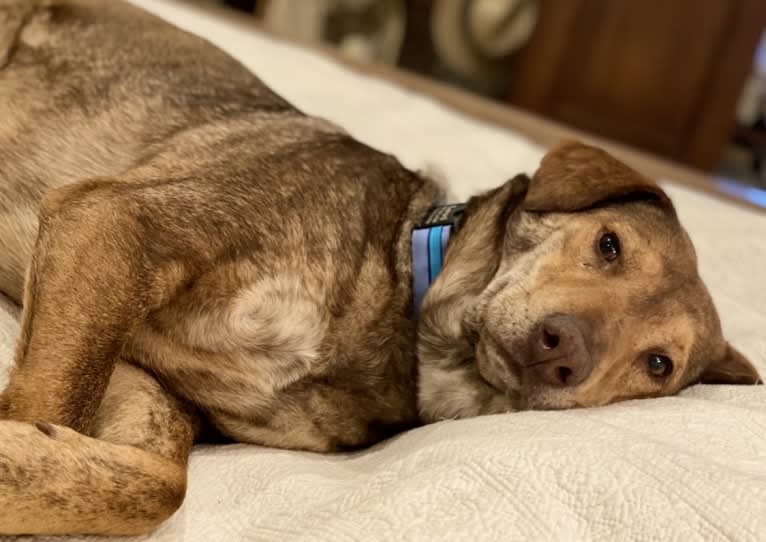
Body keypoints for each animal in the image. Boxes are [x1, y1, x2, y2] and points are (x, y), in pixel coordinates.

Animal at [0, 0, 760, 536]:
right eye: (609, 245)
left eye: (658, 365)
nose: (562, 351)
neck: (400, 309)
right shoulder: (115, 225)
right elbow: (54, 401)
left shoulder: (151, 377)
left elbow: (153, 479)